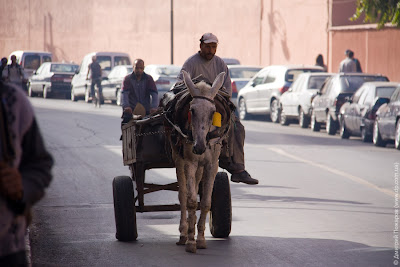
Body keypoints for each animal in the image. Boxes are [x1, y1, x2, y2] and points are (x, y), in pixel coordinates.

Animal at [170, 70, 227, 254]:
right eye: (192, 110)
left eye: (212, 112)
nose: (199, 147)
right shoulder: (189, 163)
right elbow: (191, 201)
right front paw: (190, 241)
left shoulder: (211, 165)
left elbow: (206, 202)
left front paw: (200, 238)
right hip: (179, 160)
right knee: (183, 195)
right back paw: (183, 233)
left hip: (201, 167)